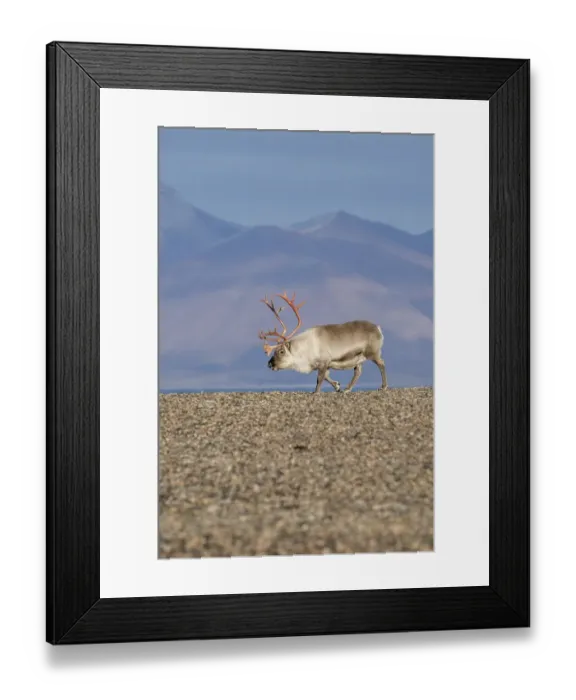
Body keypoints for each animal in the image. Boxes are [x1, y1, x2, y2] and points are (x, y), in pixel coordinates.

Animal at [258, 291, 388, 394]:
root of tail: (378, 328)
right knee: (358, 372)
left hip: (373, 353)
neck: (303, 350)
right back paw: (347, 389)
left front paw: (316, 392)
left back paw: (383, 387)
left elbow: (320, 378)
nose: (269, 364)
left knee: (381, 363)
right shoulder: (325, 364)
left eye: (281, 351)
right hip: (358, 358)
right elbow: (326, 376)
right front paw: (337, 386)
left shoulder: (324, 361)